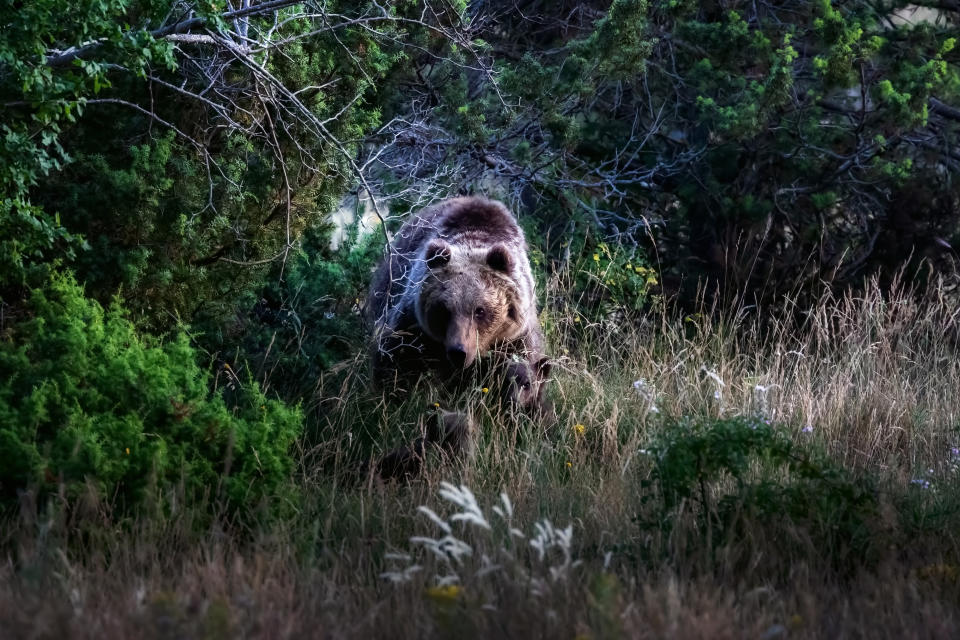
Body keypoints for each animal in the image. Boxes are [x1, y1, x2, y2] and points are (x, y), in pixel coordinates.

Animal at [368, 198, 544, 382]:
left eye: (480, 311)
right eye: (443, 309)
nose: (458, 352)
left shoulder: (515, 336)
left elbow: (521, 368)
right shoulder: (413, 322)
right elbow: (395, 356)